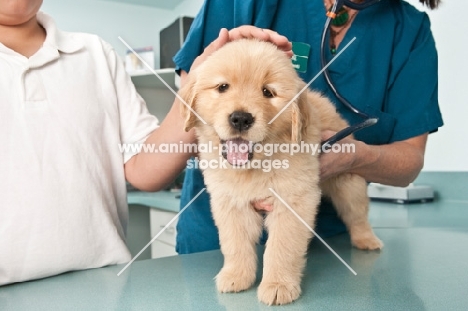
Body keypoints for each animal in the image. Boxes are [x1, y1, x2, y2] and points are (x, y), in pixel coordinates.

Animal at [177, 38, 382, 304]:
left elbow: (282, 247)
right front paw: (236, 275)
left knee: (357, 214)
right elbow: (234, 243)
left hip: (349, 184)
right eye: (222, 87)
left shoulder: (294, 201)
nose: (240, 118)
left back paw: (367, 240)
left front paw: (278, 284)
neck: (256, 165)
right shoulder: (230, 202)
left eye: (268, 92)